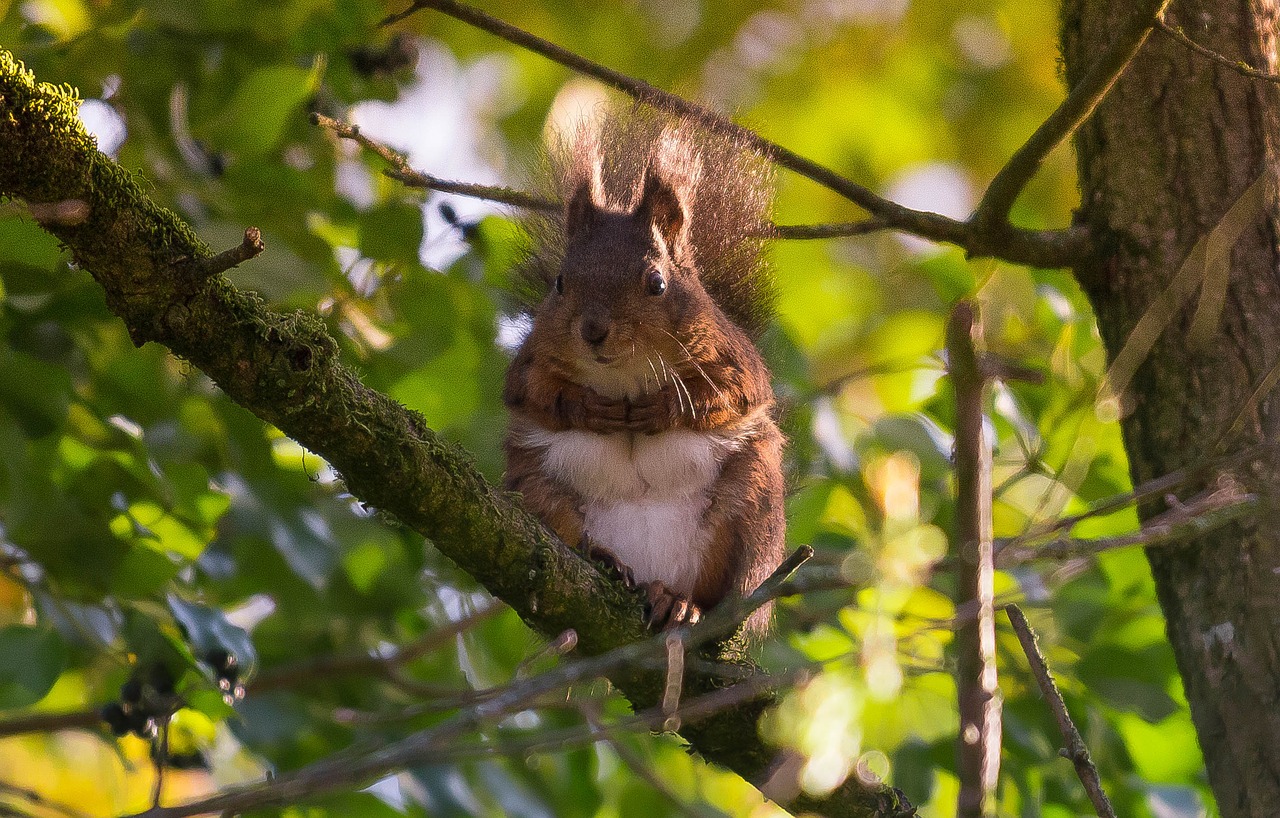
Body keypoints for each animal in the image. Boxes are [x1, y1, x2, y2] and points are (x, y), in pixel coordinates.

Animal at [501, 108, 783, 637]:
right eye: (560, 282)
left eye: (657, 283)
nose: (593, 331)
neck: (626, 372)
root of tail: (652, 570)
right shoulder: (529, 362)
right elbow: (531, 393)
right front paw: (589, 407)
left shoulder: (736, 359)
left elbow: (736, 394)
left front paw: (663, 408)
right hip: (539, 494)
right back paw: (606, 560)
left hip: (749, 512)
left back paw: (680, 604)